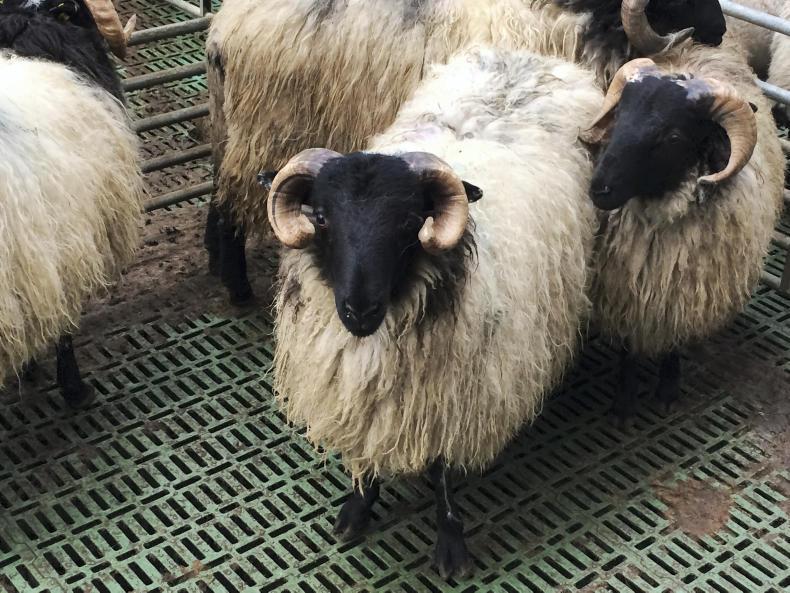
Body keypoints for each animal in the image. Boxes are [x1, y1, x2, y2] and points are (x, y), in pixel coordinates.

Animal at [204, 0, 723, 303]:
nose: (719, 30)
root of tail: (220, 33)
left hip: (230, 125)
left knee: (218, 194)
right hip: (268, 130)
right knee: (234, 204)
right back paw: (239, 290)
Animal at [264, 46, 601, 579]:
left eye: (409, 222)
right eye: (321, 218)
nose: (359, 309)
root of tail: (527, 55)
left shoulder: (454, 394)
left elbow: (443, 471)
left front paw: (450, 544)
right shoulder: (365, 393)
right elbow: (366, 450)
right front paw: (358, 508)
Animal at [579, 50, 785, 427]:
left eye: (673, 137)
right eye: (620, 116)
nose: (600, 188)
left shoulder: (683, 293)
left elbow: (674, 344)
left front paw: (667, 392)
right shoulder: (624, 291)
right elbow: (628, 351)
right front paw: (623, 405)